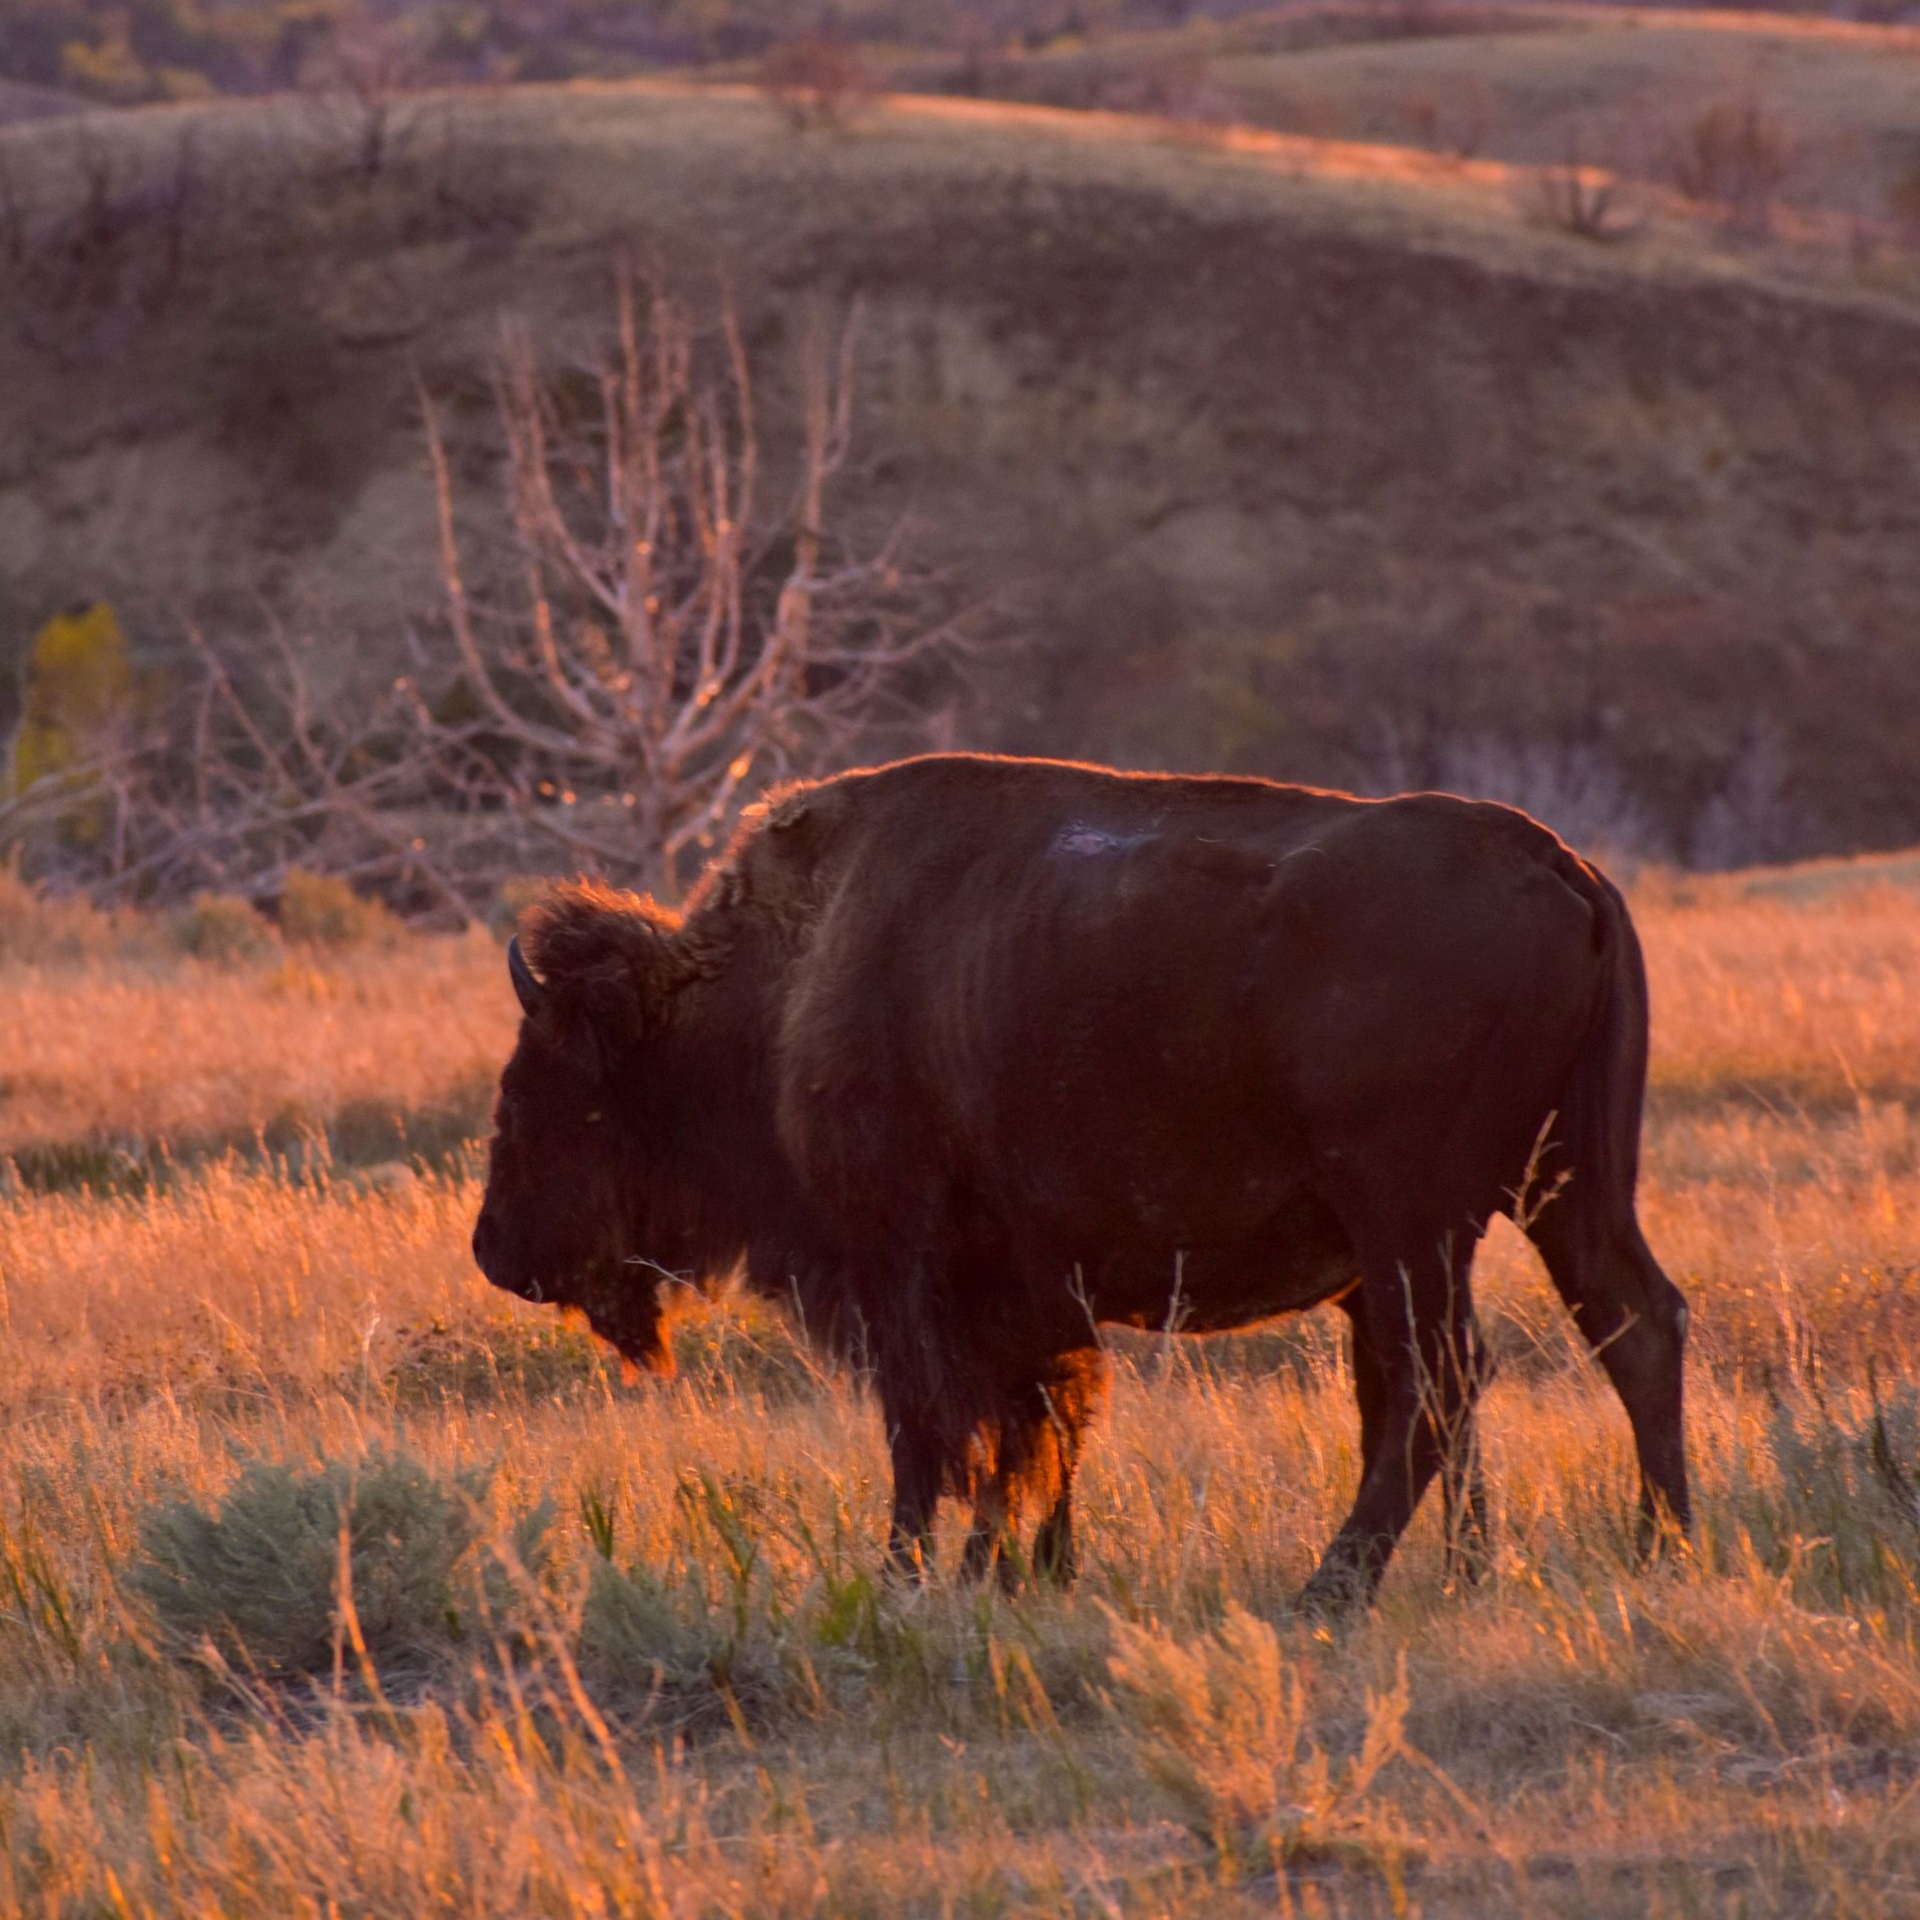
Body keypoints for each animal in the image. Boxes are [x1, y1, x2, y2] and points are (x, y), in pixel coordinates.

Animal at [472, 753, 1689, 1610]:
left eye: (536, 1099)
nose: (496, 1253)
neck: (781, 988)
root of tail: (1564, 865)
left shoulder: (905, 1271)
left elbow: (936, 1434)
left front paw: (912, 1574)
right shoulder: (1025, 1288)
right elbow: (1042, 1426)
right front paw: (1023, 1571)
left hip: (1415, 1222)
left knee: (1441, 1381)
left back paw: (1328, 1595)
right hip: (1563, 1191)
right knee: (1627, 1325)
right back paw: (1655, 1553)